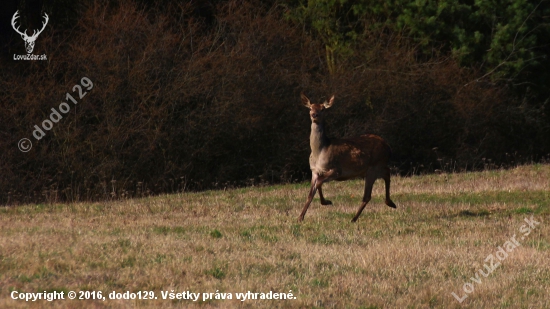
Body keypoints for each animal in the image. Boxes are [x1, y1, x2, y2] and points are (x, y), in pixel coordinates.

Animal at [300, 92, 398, 223]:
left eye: (322, 109)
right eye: (310, 108)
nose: (314, 115)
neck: (319, 152)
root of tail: (388, 146)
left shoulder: (336, 170)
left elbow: (319, 183)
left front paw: (327, 202)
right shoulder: (314, 171)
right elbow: (311, 193)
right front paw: (300, 217)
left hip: (374, 167)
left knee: (367, 195)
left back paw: (354, 219)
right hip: (375, 167)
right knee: (387, 172)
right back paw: (390, 203)